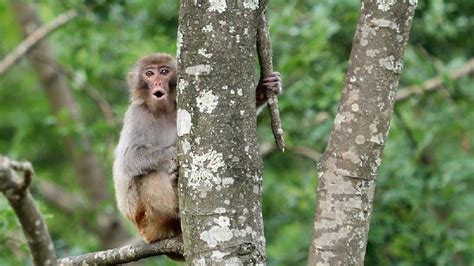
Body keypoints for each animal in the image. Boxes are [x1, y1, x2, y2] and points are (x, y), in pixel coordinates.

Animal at [112, 53, 280, 244]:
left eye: (164, 72)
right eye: (149, 73)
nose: (157, 83)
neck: (162, 111)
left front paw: (262, 92)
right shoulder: (137, 115)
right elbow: (129, 159)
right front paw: (176, 151)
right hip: (143, 217)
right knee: (146, 176)